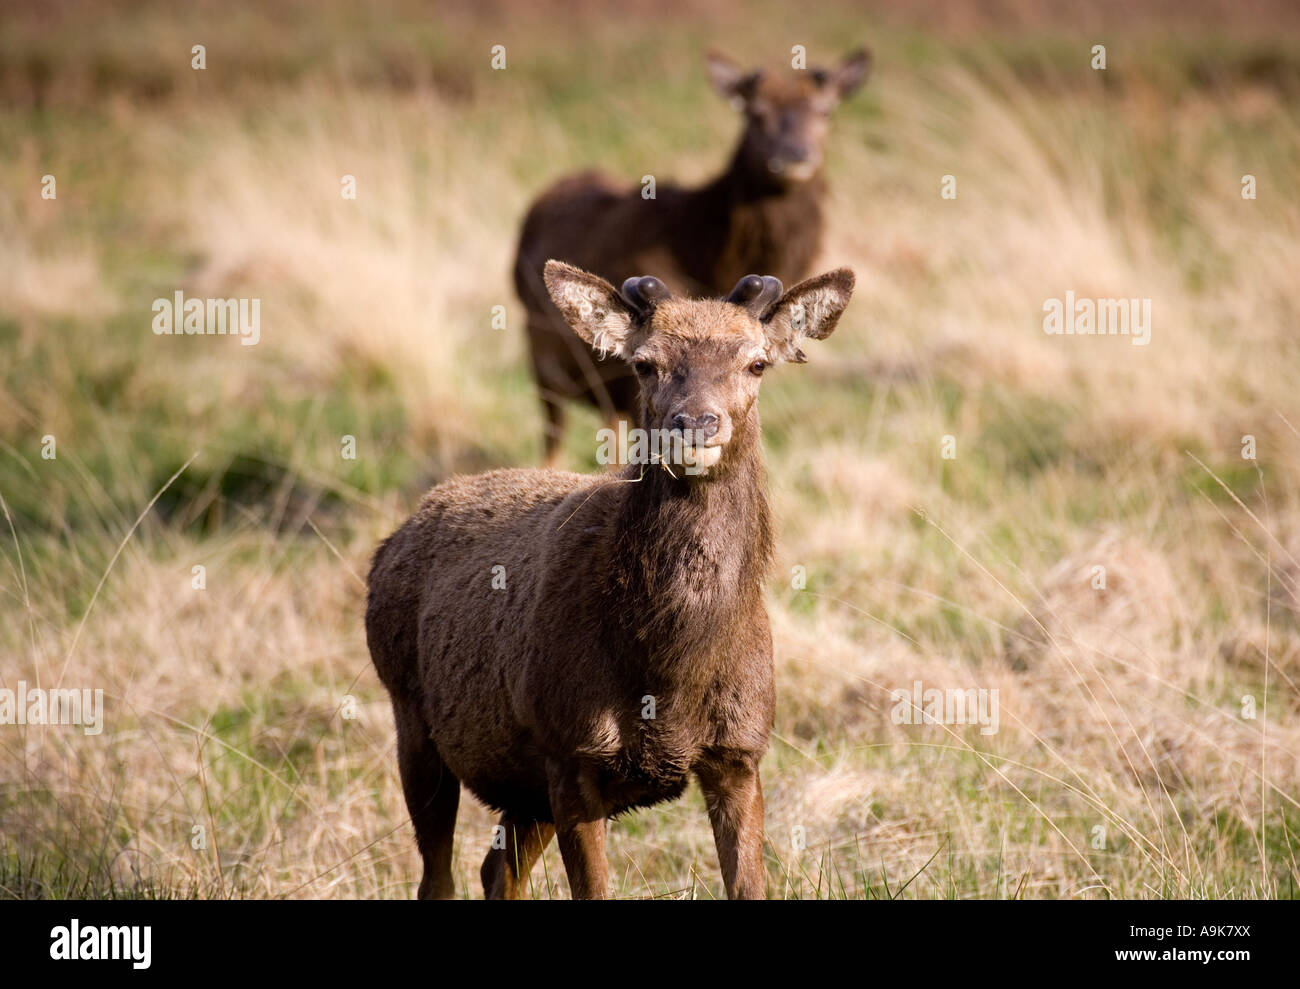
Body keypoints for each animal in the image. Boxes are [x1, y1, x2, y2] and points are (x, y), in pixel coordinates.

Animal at [365, 260, 855, 899]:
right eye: (645, 363)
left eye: (756, 362)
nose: (695, 423)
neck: (666, 674)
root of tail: (391, 542)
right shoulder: (570, 750)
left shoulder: (741, 750)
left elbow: (748, 885)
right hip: (411, 715)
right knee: (438, 877)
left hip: (523, 784)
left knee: (496, 868)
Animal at [513, 48, 871, 464]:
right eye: (755, 112)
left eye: (825, 110)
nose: (795, 155)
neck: (710, 256)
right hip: (541, 355)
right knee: (554, 433)